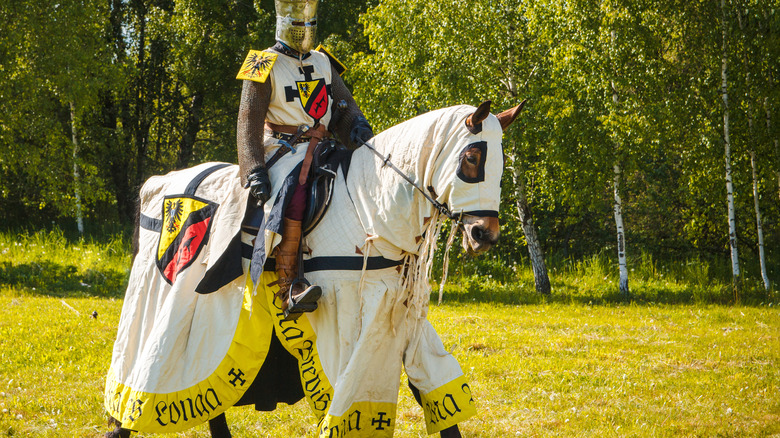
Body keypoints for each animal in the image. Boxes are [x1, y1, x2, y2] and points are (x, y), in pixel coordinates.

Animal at [105, 101, 524, 436]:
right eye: (472, 158)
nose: (484, 234)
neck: (371, 205)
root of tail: (159, 183)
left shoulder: (401, 314)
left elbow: (429, 391)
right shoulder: (350, 317)